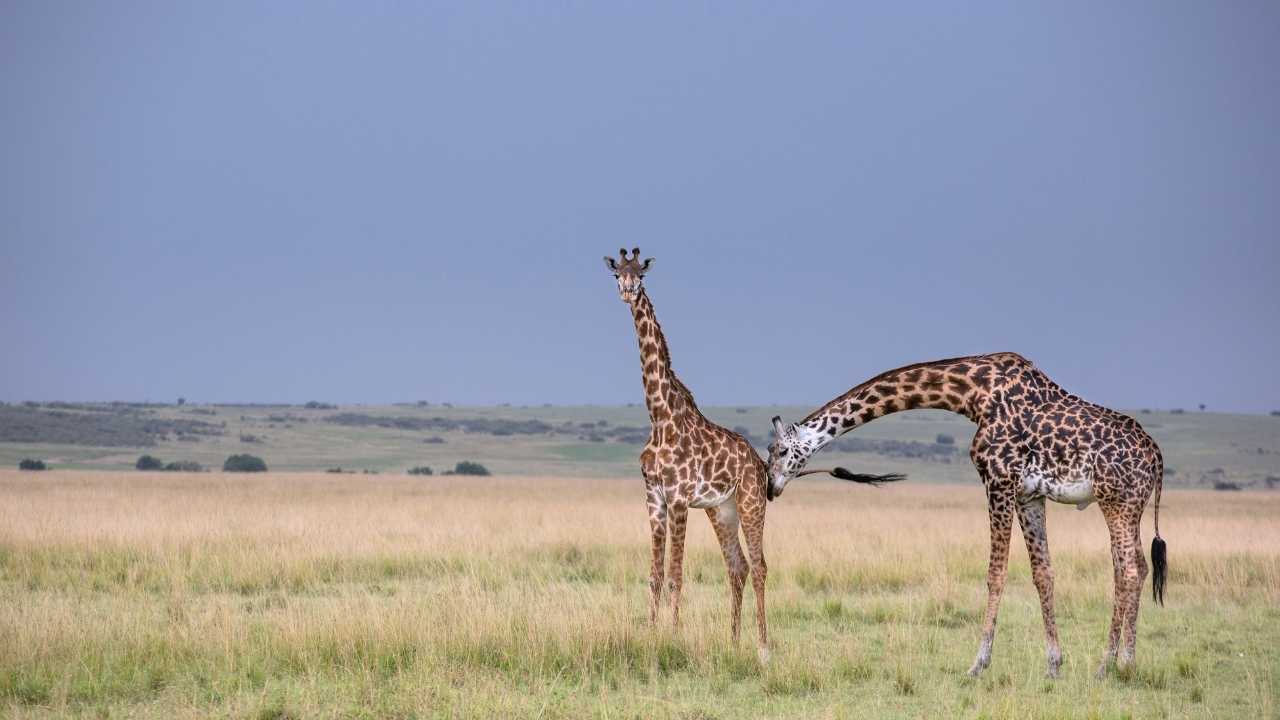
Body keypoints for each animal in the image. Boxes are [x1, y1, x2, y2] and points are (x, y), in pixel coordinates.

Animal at [765, 352, 1167, 679]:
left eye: (780, 450)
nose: (771, 487)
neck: (972, 395)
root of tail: (1156, 457)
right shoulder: (1029, 495)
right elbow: (1043, 573)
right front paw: (1054, 664)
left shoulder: (998, 481)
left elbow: (995, 573)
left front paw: (978, 664)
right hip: (1130, 506)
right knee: (1135, 567)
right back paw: (1118, 662)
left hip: (1115, 501)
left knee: (1129, 570)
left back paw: (1115, 664)